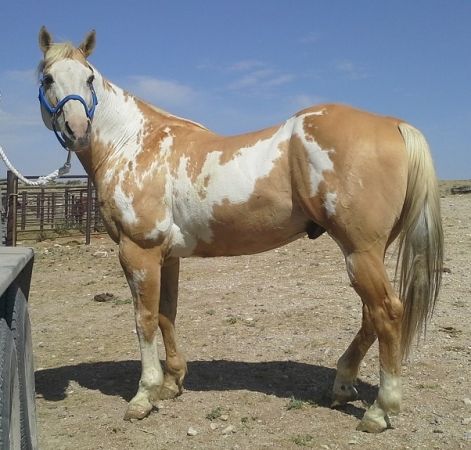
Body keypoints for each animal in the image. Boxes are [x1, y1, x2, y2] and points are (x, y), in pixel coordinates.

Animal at [37, 29, 442, 432]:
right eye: (48, 78)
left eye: (89, 78)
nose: (78, 130)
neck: (134, 145)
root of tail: (391, 123)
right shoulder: (167, 257)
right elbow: (167, 314)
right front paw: (172, 383)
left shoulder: (139, 252)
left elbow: (144, 319)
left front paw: (143, 396)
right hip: (368, 253)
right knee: (371, 315)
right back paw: (342, 386)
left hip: (360, 252)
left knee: (387, 312)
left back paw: (380, 410)